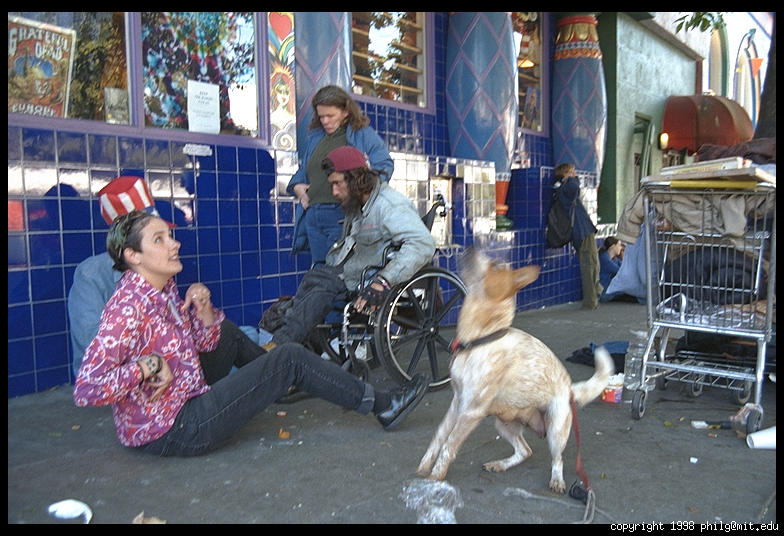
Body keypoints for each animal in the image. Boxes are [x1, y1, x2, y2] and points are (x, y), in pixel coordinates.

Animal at [417, 250, 614, 493]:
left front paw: (435, 477)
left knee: (557, 459)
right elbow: (438, 438)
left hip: (556, 429)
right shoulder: (457, 402)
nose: (471, 248)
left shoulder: (471, 410)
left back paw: (557, 480)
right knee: (525, 451)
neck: (478, 340)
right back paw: (500, 465)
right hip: (503, 424)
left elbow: (449, 445)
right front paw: (423, 469)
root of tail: (570, 388)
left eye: (495, 265)